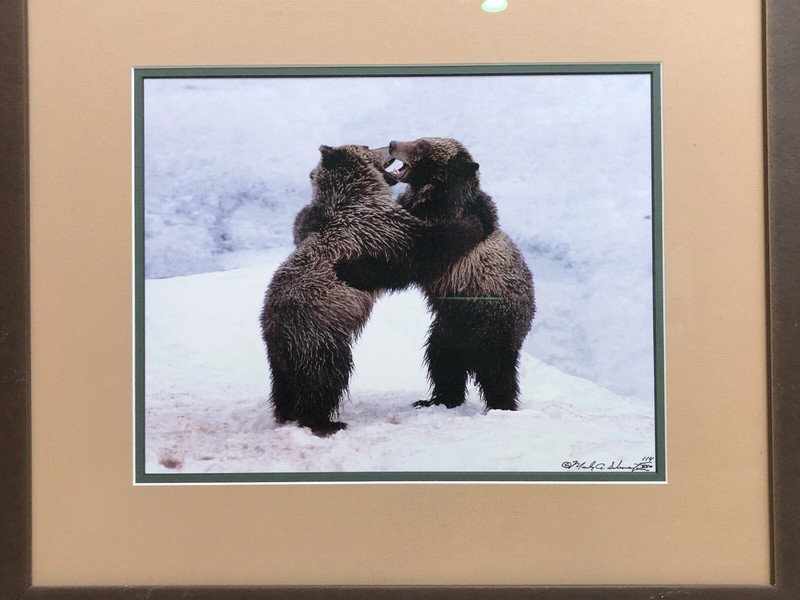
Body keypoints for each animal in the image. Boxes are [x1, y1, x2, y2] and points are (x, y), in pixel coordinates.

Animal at [260, 144, 484, 435]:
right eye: (366, 146)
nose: (388, 145)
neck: (356, 196)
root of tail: (275, 325)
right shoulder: (382, 227)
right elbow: (426, 247)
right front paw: (473, 223)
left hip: (279, 355)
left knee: (284, 386)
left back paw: (286, 412)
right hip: (317, 333)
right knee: (327, 375)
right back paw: (324, 421)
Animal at [337, 137, 535, 412]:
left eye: (421, 145)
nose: (393, 143)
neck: (436, 197)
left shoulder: (440, 232)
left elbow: (408, 260)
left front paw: (350, 269)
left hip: (491, 326)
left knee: (496, 373)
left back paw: (501, 405)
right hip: (448, 329)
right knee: (443, 362)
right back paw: (436, 399)